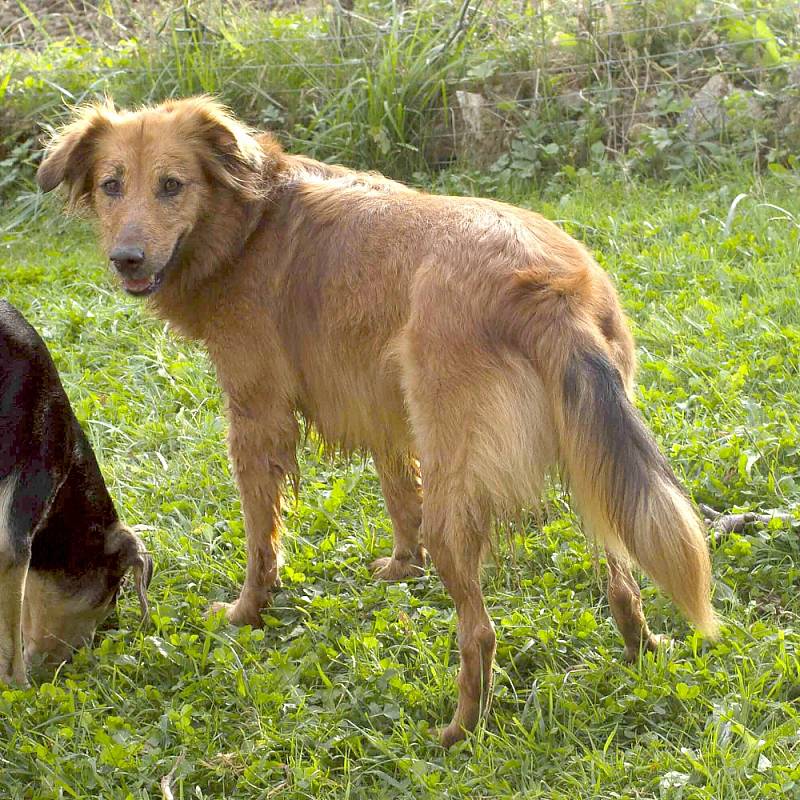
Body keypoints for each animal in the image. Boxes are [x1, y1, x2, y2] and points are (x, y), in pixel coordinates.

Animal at [37, 97, 720, 748]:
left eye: (172, 185)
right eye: (111, 186)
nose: (126, 259)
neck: (251, 221)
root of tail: (547, 287)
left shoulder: (257, 417)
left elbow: (261, 537)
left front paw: (247, 612)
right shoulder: (384, 406)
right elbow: (396, 494)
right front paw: (400, 569)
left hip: (461, 492)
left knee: (481, 631)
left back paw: (461, 730)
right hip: (593, 457)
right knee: (623, 577)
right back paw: (640, 650)